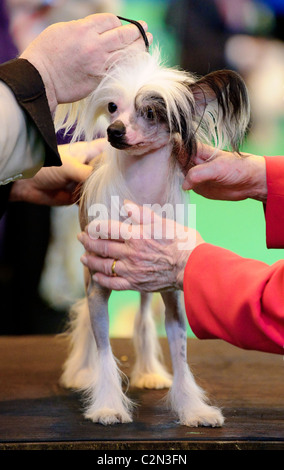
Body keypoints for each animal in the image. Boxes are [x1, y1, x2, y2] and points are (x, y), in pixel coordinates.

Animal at [54, 47, 250, 426]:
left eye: (150, 112)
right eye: (112, 107)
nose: (113, 131)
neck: (140, 194)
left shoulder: (171, 292)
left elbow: (181, 355)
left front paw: (194, 409)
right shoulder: (98, 286)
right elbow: (104, 349)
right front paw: (108, 405)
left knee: (144, 318)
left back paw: (148, 372)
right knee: (85, 320)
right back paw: (81, 373)